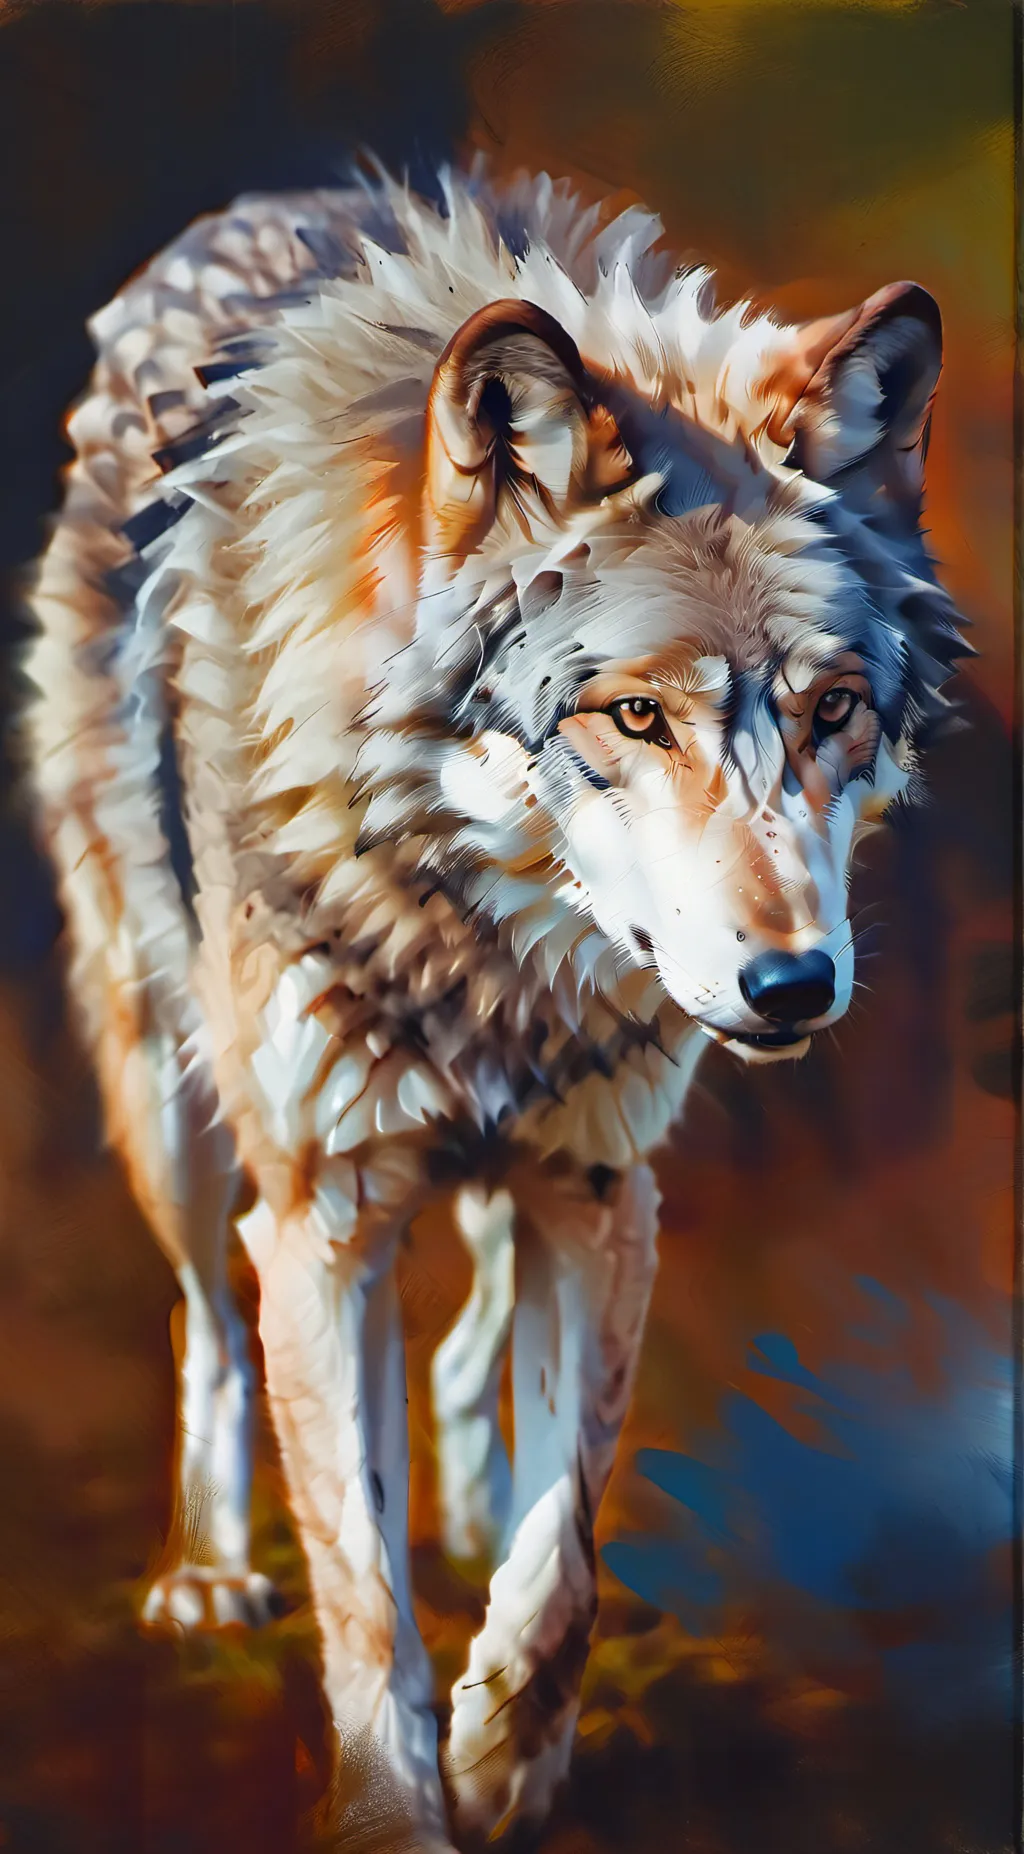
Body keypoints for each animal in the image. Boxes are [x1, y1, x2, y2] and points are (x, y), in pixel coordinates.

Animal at [24, 167, 963, 1849]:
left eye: (833, 710)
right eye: (635, 713)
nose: (795, 984)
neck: (489, 957)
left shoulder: (600, 1185)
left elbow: (564, 1549)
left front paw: (503, 1764)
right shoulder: (322, 1220)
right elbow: (359, 1587)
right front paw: (399, 1805)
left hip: (500, 1177)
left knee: (467, 1358)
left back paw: (457, 1517)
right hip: (171, 1104)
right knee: (206, 1328)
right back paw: (206, 1573)